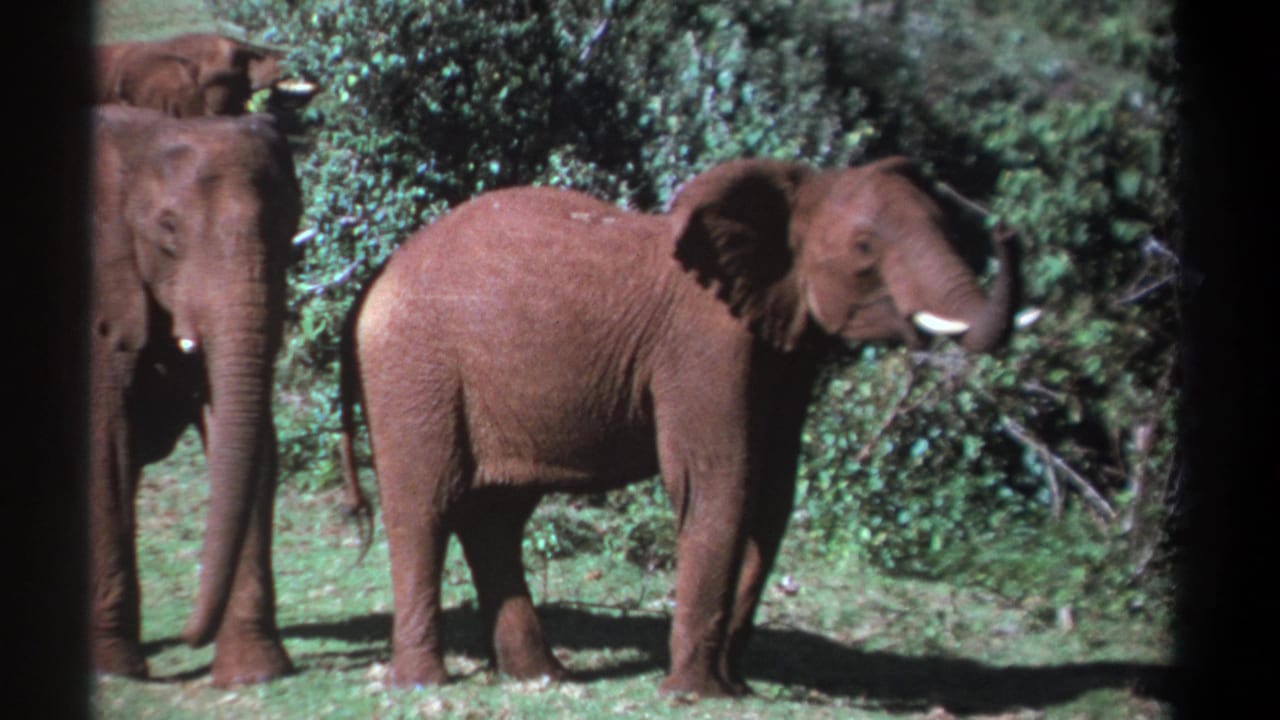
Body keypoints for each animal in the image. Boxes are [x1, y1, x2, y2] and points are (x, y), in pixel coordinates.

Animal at [90, 106, 301, 686]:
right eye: (168, 228)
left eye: (289, 221)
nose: (189, 637)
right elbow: (105, 443)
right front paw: (116, 669)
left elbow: (247, 439)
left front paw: (255, 673)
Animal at [336, 157, 1018, 696]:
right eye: (865, 248)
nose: (1005, 226)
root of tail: (377, 277)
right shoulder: (705, 345)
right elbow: (717, 482)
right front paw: (694, 694)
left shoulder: (783, 353)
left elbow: (771, 496)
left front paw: (732, 687)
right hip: (414, 369)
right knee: (425, 506)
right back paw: (424, 684)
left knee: (496, 517)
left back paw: (542, 677)